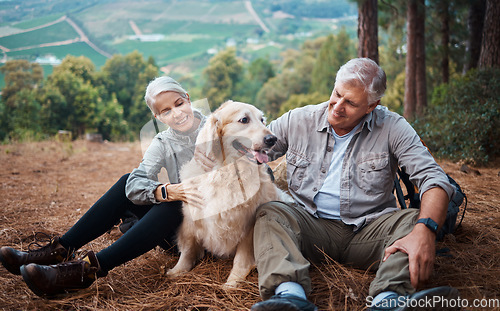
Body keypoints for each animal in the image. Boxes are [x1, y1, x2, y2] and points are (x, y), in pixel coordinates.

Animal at [168, 101, 282, 288]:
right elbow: (188, 247)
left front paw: (233, 282)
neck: (226, 170)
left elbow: (241, 258)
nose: (272, 139)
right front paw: (178, 270)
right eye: (244, 120)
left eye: (262, 120)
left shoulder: (249, 223)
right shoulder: (192, 217)